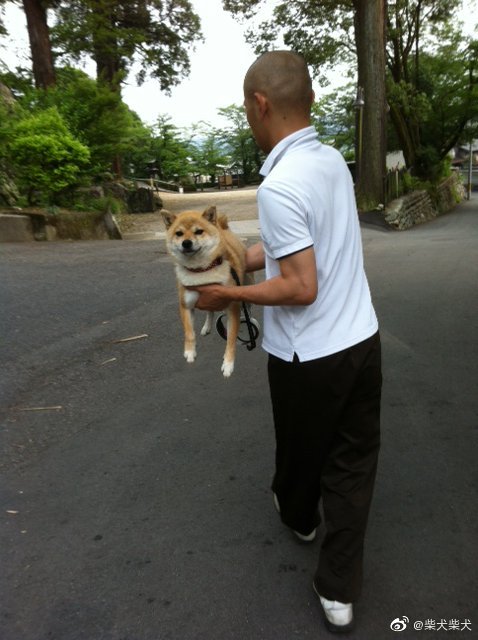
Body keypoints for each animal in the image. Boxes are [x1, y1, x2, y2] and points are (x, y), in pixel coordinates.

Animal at [162, 205, 248, 378]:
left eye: (198, 231)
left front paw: (228, 364)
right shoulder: (186, 305)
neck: (201, 271)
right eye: (179, 233)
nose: (186, 243)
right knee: (210, 311)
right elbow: (189, 332)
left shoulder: (232, 307)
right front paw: (189, 352)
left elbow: (231, 340)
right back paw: (207, 327)